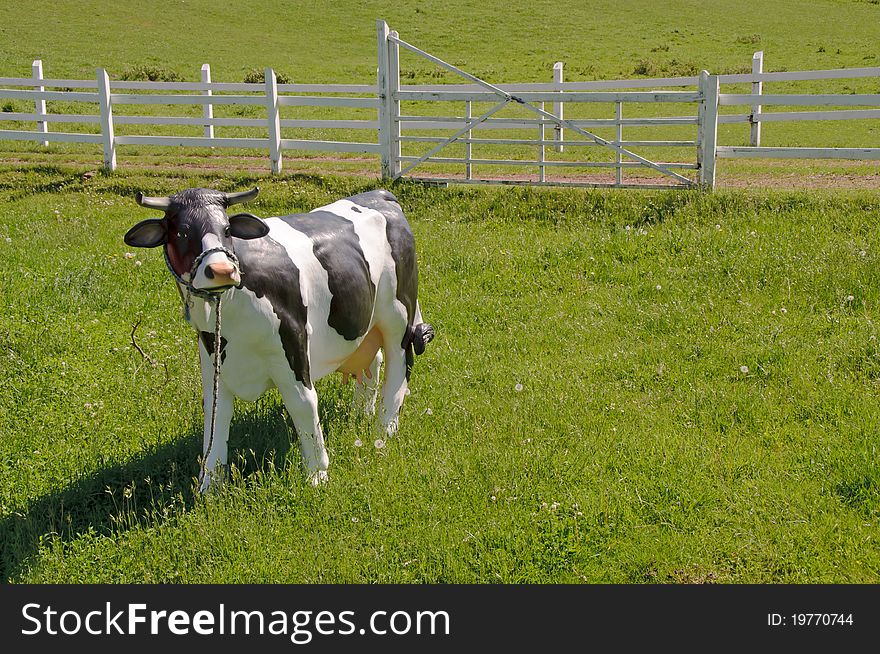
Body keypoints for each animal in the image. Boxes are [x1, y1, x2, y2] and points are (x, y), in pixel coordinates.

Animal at [125, 187, 434, 490]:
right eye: (181, 232)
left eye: (227, 229)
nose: (223, 270)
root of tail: (380, 194)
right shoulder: (213, 357)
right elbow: (215, 415)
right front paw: (209, 487)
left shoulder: (293, 346)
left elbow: (304, 404)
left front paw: (317, 476)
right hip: (365, 322)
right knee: (373, 361)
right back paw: (361, 414)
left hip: (399, 315)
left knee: (399, 367)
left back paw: (385, 429)